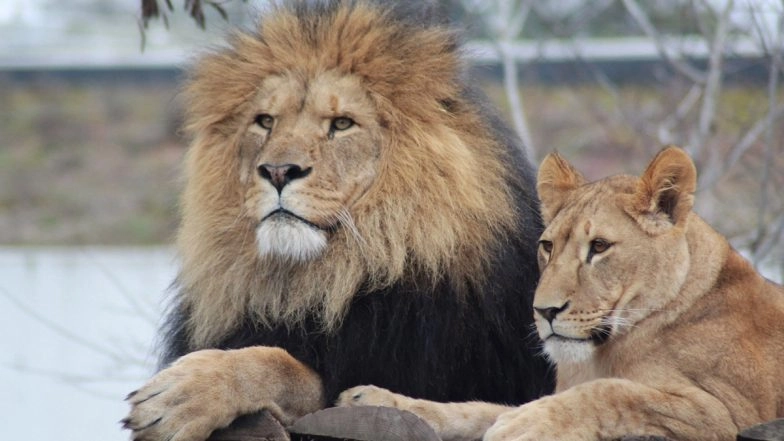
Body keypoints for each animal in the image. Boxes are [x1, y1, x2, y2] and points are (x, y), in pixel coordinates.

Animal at [122, 2, 554, 441]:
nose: (278, 171)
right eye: (265, 121)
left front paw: (181, 395)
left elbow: (289, 368)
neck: (326, 279)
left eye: (342, 123)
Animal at [340, 146, 784, 441]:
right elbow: (475, 410)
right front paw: (375, 400)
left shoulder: (724, 412)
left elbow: (614, 392)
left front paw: (525, 424)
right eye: (548, 246)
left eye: (599, 247)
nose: (544, 311)